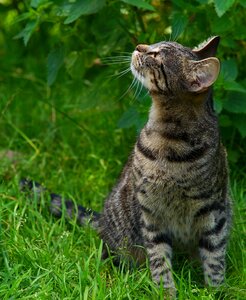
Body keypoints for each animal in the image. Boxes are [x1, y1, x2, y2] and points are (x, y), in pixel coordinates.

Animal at [20, 35, 232, 298]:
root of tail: (101, 220)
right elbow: (159, 260)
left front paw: (216, 291)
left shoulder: (214, 209)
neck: (171, 145)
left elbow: (214, 258)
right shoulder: (151, 212)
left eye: (156, 55)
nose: (140, 46)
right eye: (153, 46)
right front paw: (166, 292)